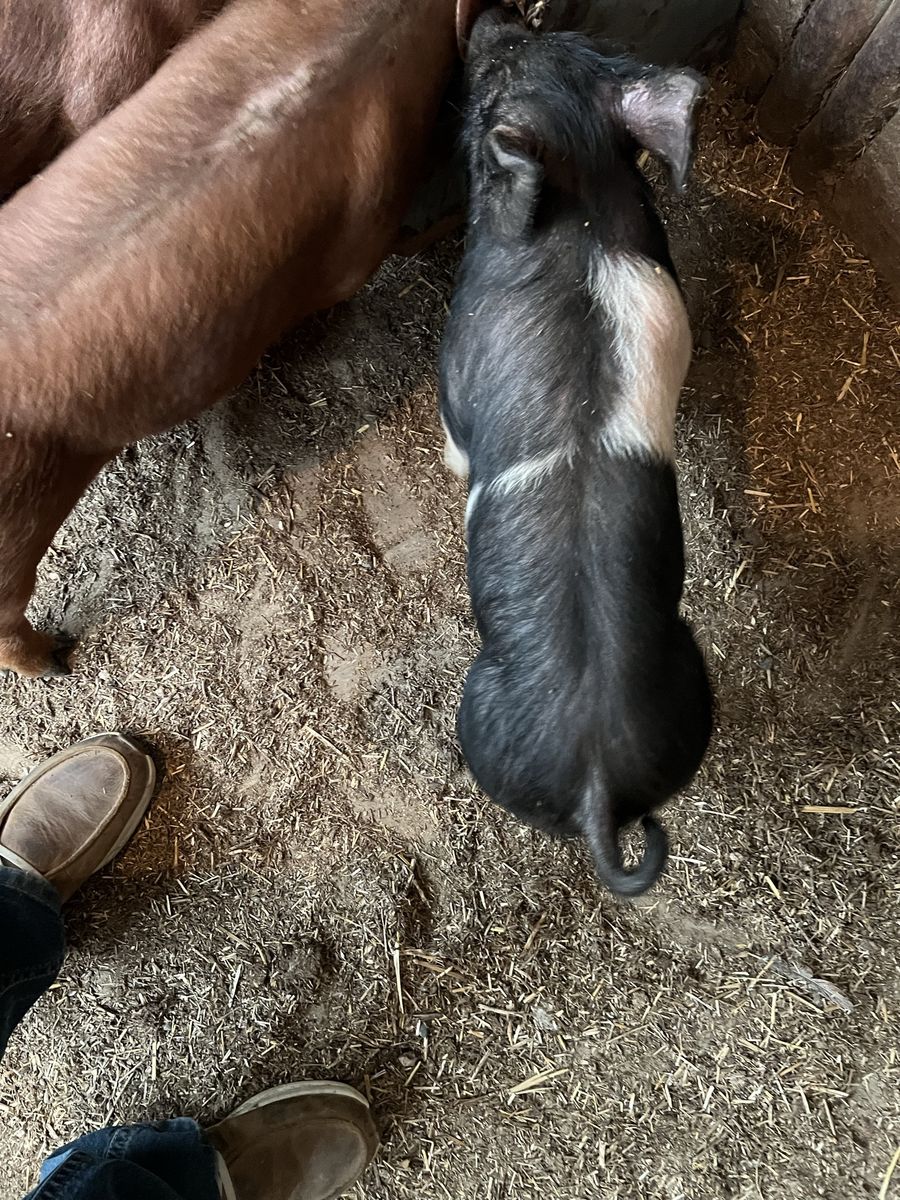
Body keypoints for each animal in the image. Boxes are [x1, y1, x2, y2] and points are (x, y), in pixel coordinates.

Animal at [439, 10, 714, 896]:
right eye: (544, 31)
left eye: (501, 69)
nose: (493, 15)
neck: (581, 214)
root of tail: (596, 782)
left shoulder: (454, 373)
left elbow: (457, 440)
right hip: (689, 701)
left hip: (480, 712)